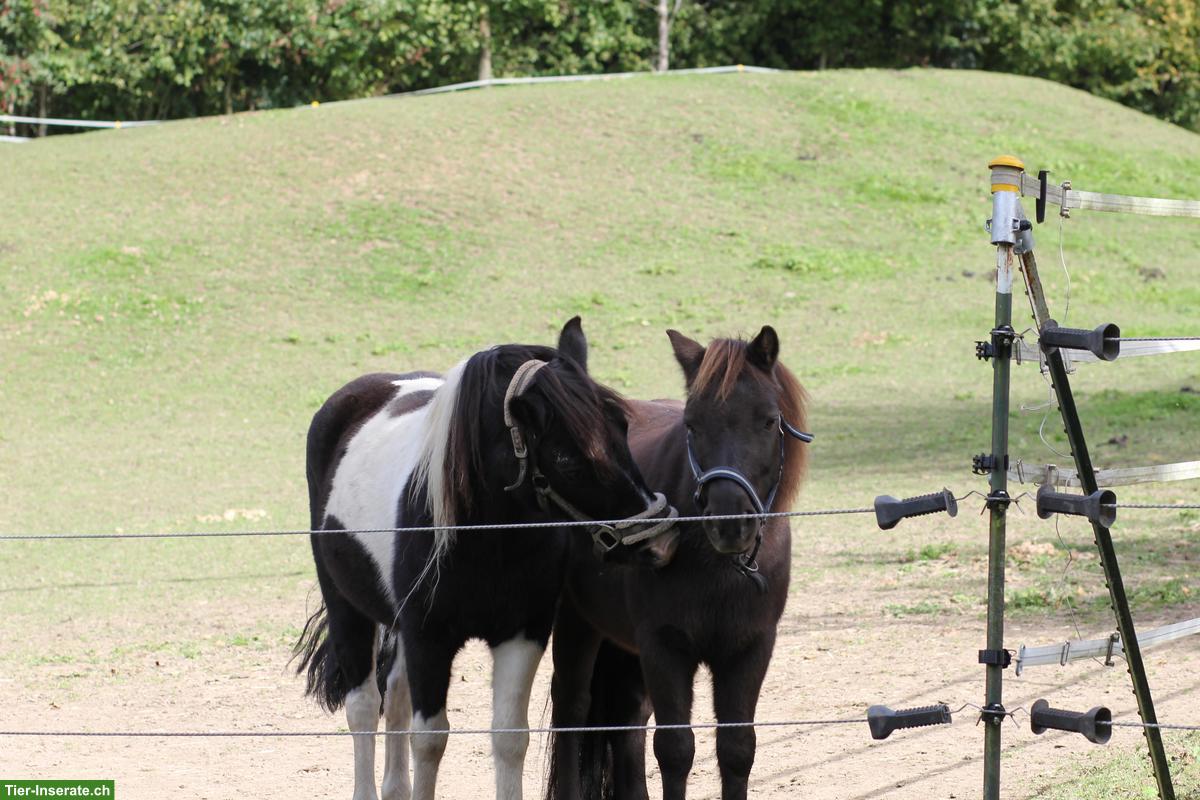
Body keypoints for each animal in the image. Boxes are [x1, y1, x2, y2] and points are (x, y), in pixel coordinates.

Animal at [294, 317, 679, 800]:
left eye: (622, 429)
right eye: (566, 459)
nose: (662, 540)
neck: (485, 539)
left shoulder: (522, 635)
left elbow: (510, 737)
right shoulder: (429, 639)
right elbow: (430, 739)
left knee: (395, 696)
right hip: (347, 606)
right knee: (365, 706)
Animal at [546, 325, 810, 800]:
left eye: (768, 420)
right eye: (692, 424)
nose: (729, 522)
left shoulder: (749, 648)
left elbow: (737, 748)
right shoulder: (663, 646)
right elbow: (675, 750)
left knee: (628, 719)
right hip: (578, 623)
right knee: (572, 710)